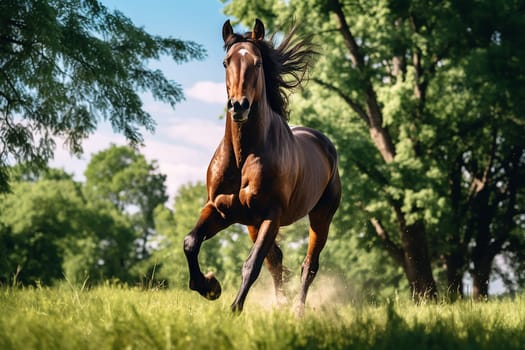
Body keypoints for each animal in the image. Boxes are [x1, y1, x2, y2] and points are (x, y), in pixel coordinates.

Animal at [182, 19, 342, 314]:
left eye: (257, 63)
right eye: (226, 62)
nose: (239, 106)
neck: (243, 156)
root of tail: (324, 142)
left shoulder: (272, 213)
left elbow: (252, 264)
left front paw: (234, 309)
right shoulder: (219, 209)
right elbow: (190, 242)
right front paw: (210, 286)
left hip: (321, 217)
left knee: (309, 265)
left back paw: (297, 311)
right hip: (252, 223)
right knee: (276, 260)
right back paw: (282, 304)